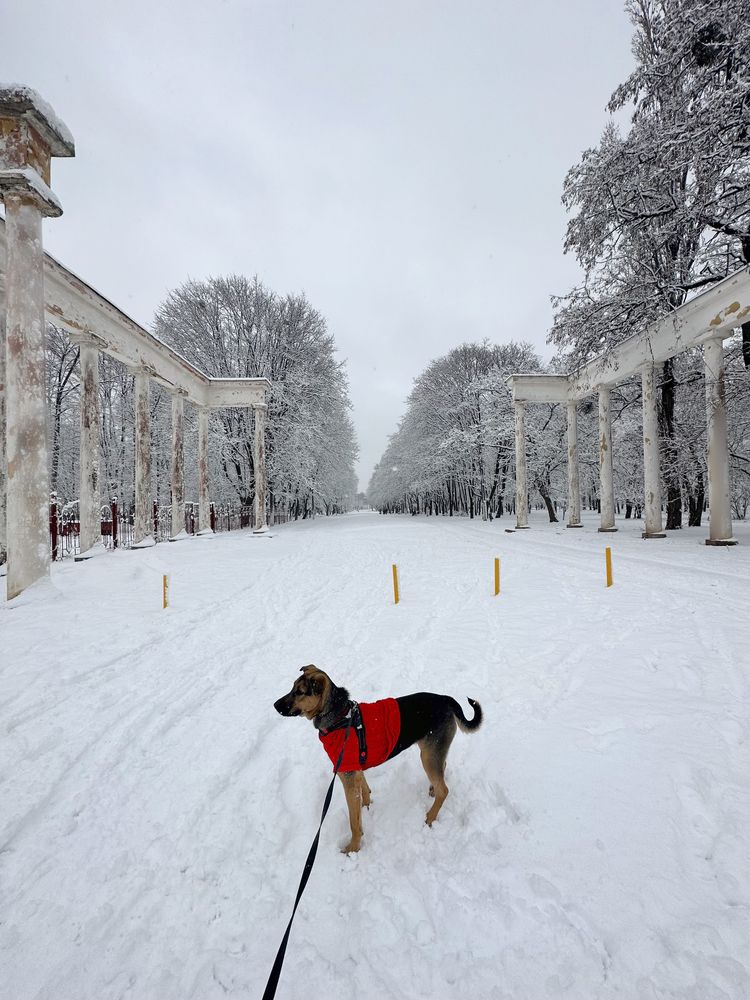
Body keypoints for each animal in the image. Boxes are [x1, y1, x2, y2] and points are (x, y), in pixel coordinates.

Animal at [274, 664, 484, 852]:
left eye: (300, 692)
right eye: (292, 687)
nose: (275, 705)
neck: (340, 717)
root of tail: (445, 699)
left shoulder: (347, 777)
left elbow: (354, 822)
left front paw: (353, 849)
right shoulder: (355, 770)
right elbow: (364, 793)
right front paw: (367, 808)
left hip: (428, 755)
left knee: (444, 790)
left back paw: (429, 818)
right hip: (431, 750)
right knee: (442, 768)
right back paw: (432, 789)